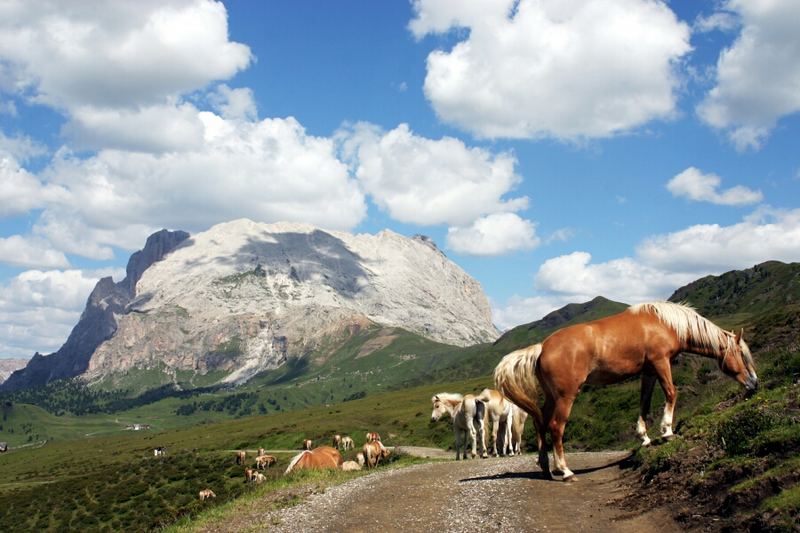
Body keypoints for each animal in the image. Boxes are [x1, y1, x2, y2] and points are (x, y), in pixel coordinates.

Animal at [496, 302, 760, 480]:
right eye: (742, 354)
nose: (754, 383)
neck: (664, 324)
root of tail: (541, 348)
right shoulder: (661, 362)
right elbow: (671, 393)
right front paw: (667, 431)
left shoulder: (648, 371)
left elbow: (644, 402)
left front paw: (644, 437)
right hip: (565, 396)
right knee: (555, 427)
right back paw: (565, 470)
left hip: (552, 396)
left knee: (540, 422)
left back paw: (545, 467)